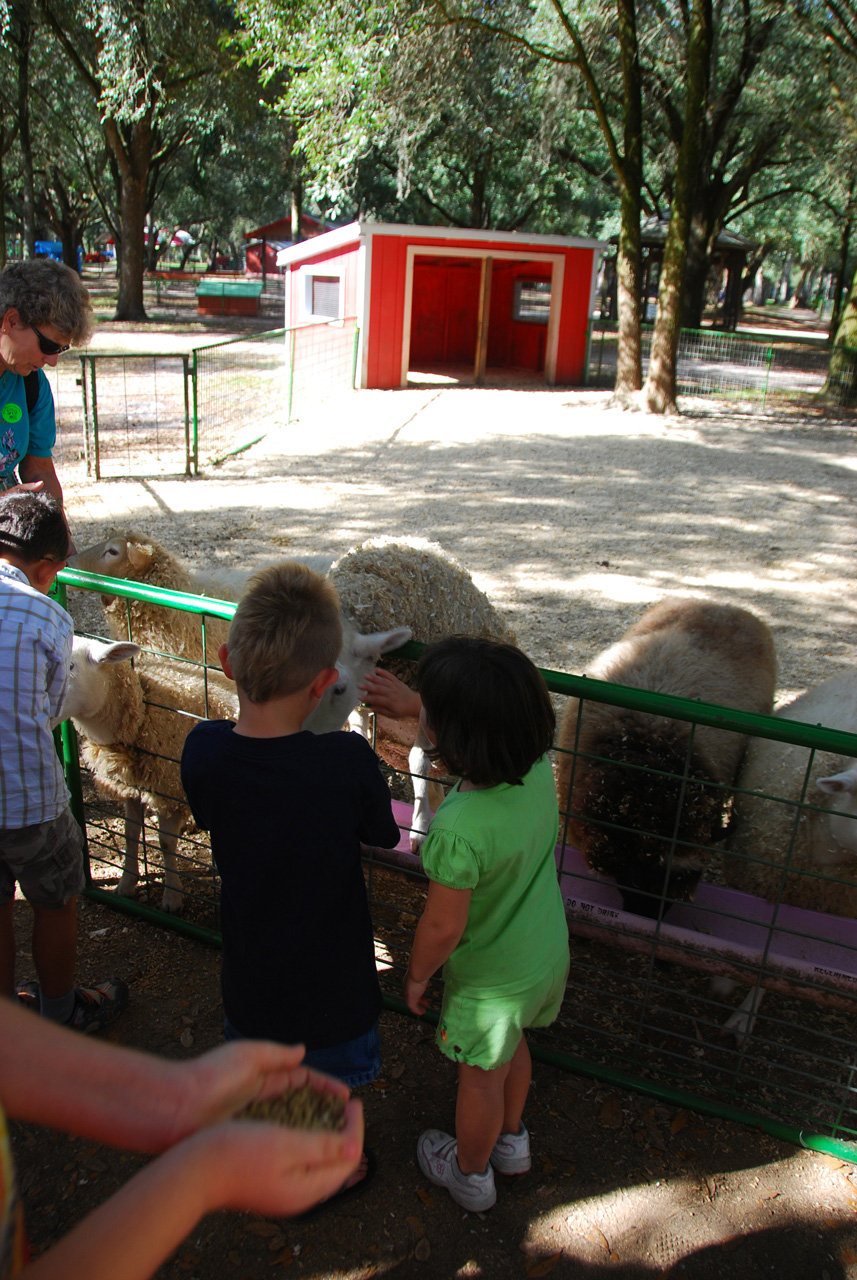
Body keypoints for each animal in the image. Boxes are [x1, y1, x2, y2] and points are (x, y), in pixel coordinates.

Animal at [59, 634, 237, 916]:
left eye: (71, 666)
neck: (143, 714)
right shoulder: (131, 788)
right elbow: (131, 834)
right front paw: (126, 883)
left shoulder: (170, 790)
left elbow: (165, 843)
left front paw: (172, 896)